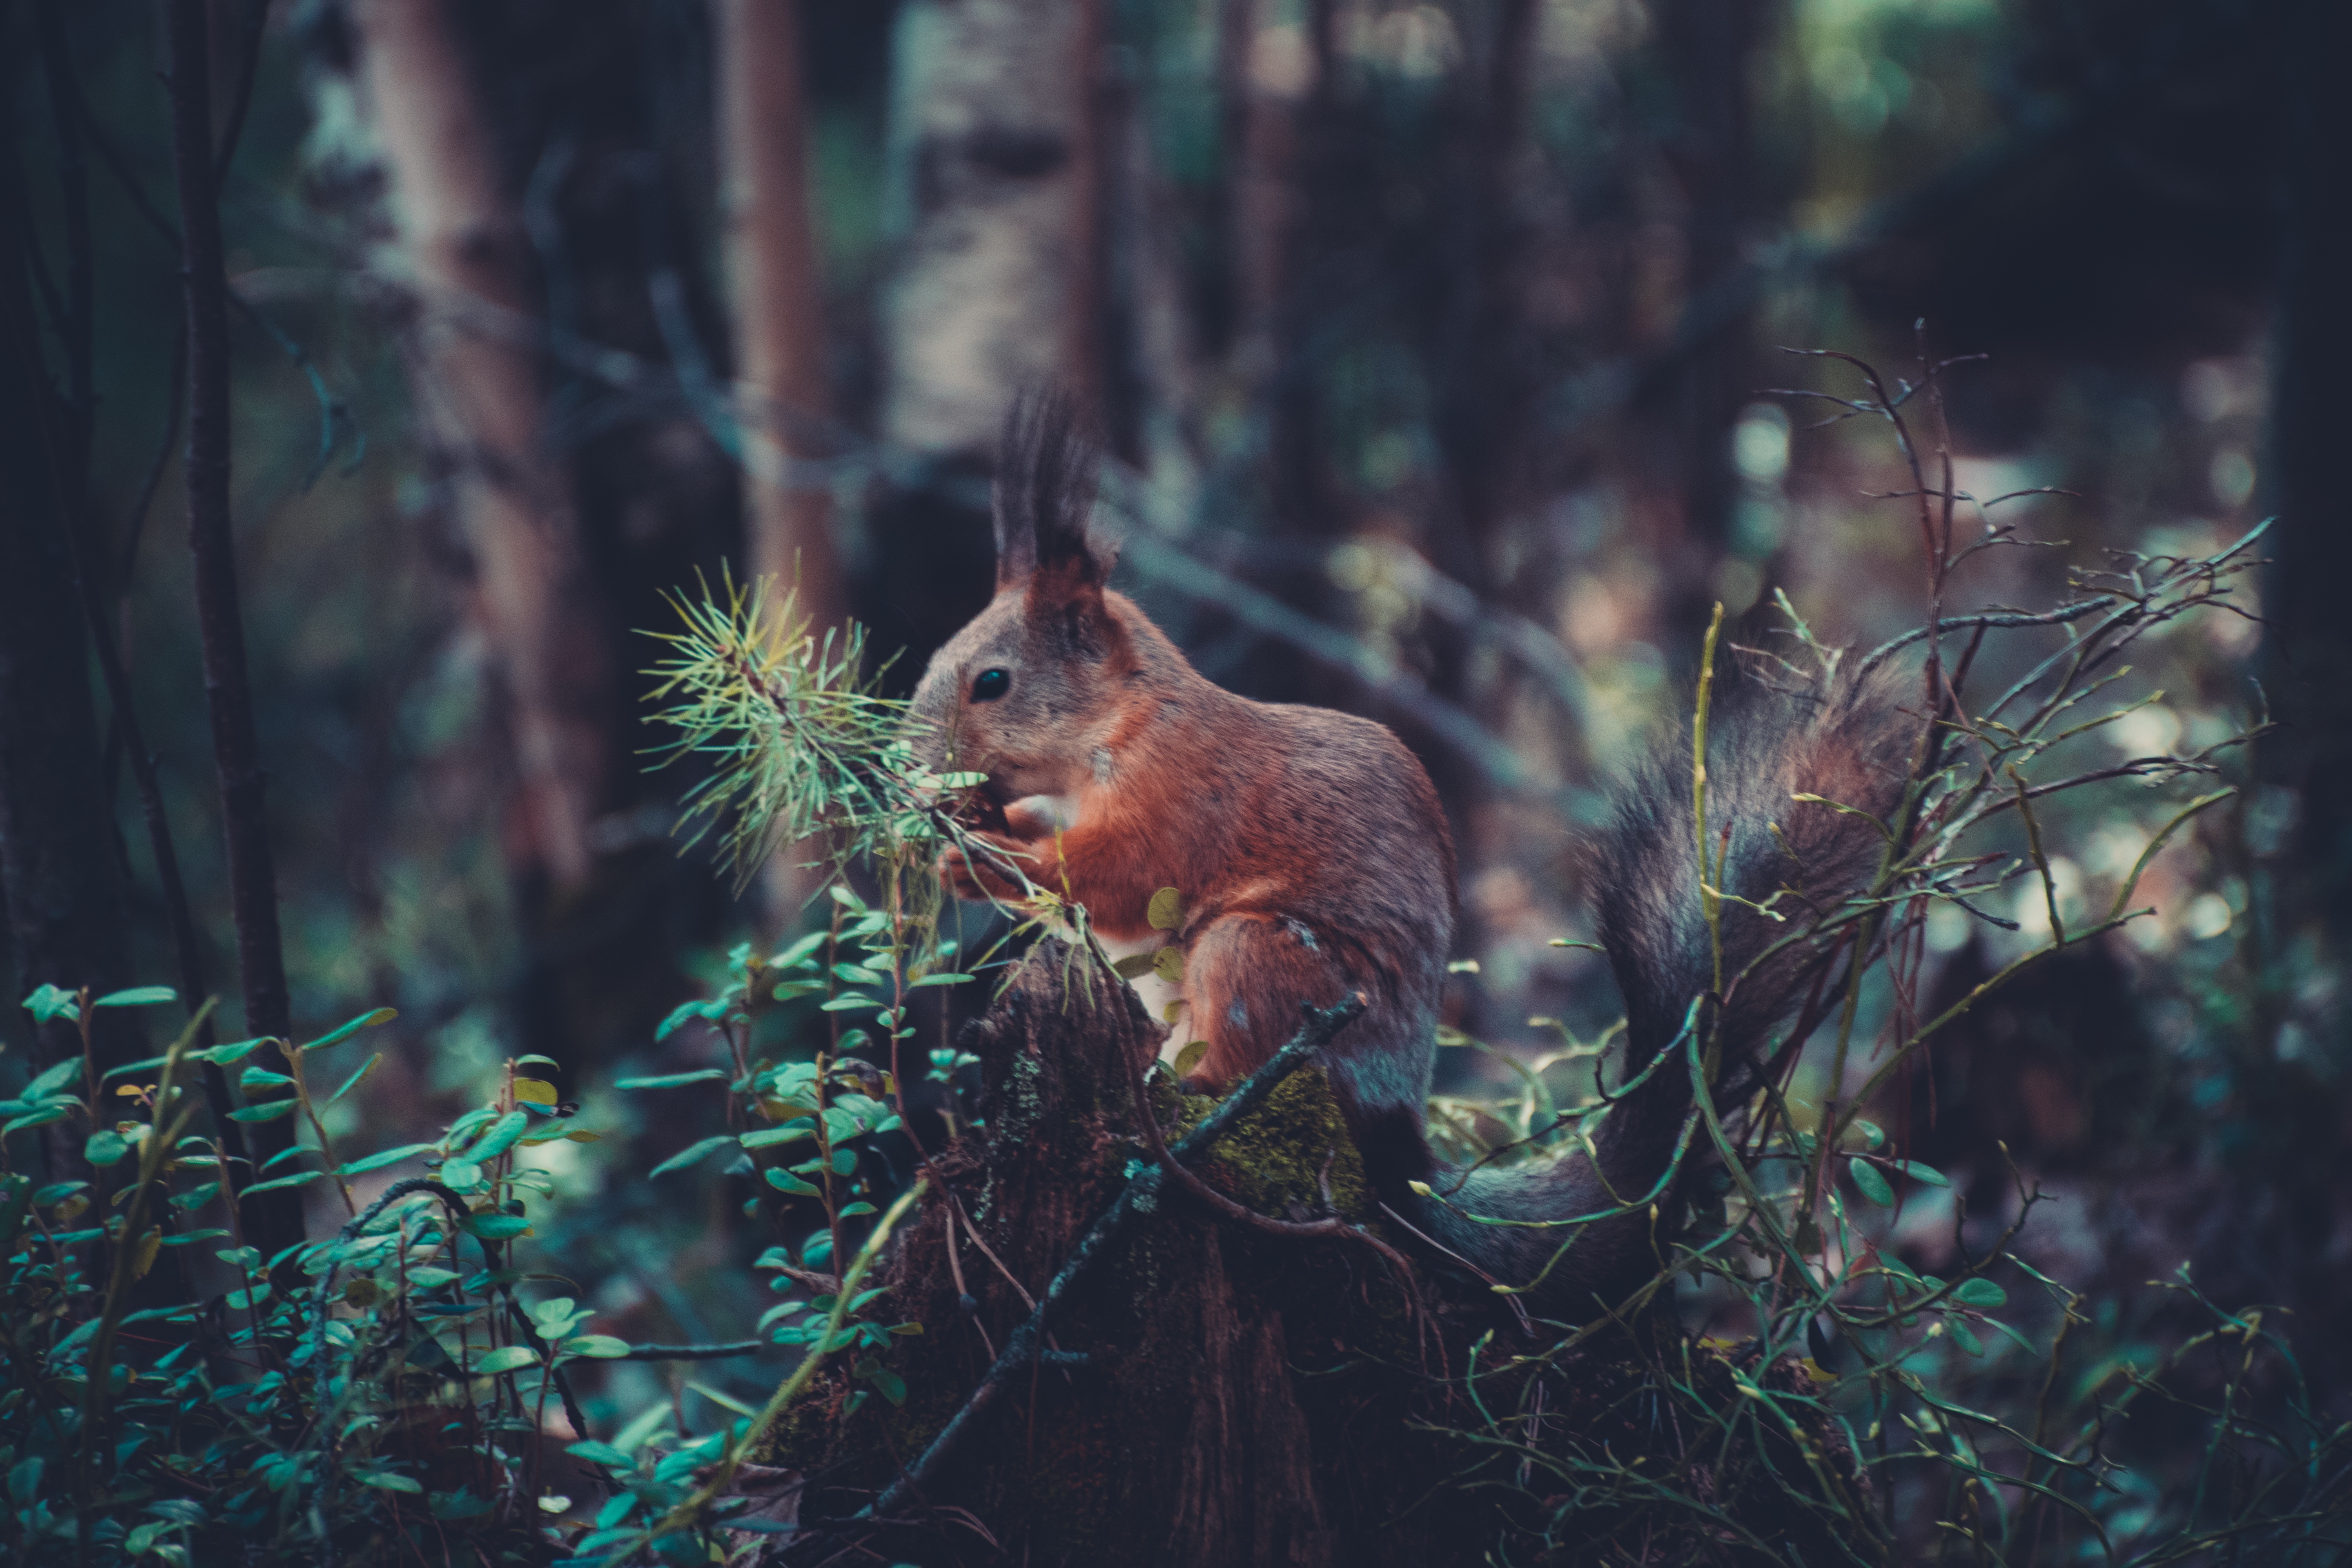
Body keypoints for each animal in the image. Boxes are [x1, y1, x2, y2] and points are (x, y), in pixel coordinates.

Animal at [898, 390, 1910, 1316]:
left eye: (993, 682)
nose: (907, 764)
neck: (1116, 727)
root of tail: (1398, 1135)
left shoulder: (1179, 800)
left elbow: (1111, 874)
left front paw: (979, 858)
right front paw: (961, 831)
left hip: (1265, 962)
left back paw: (1188, 1098)